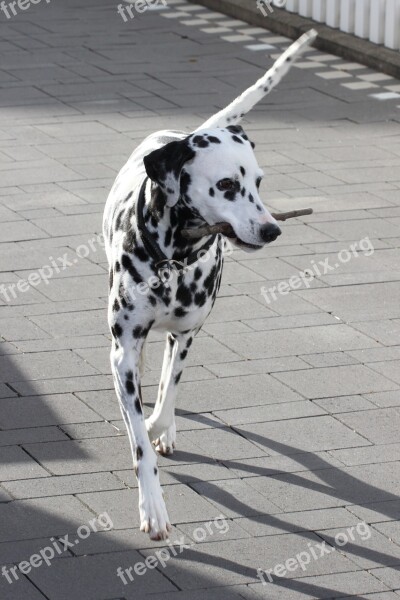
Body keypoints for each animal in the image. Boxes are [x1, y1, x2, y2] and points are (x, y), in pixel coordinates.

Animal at [104, 30, 318, 540]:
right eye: (225, 185)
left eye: (259, 181)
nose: (272, 230)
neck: (174, 259)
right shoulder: (123, 350)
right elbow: (138, 437)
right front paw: (153, 507)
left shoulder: (186, 334)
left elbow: (166, 398)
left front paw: (160, 426)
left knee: (168, 381)